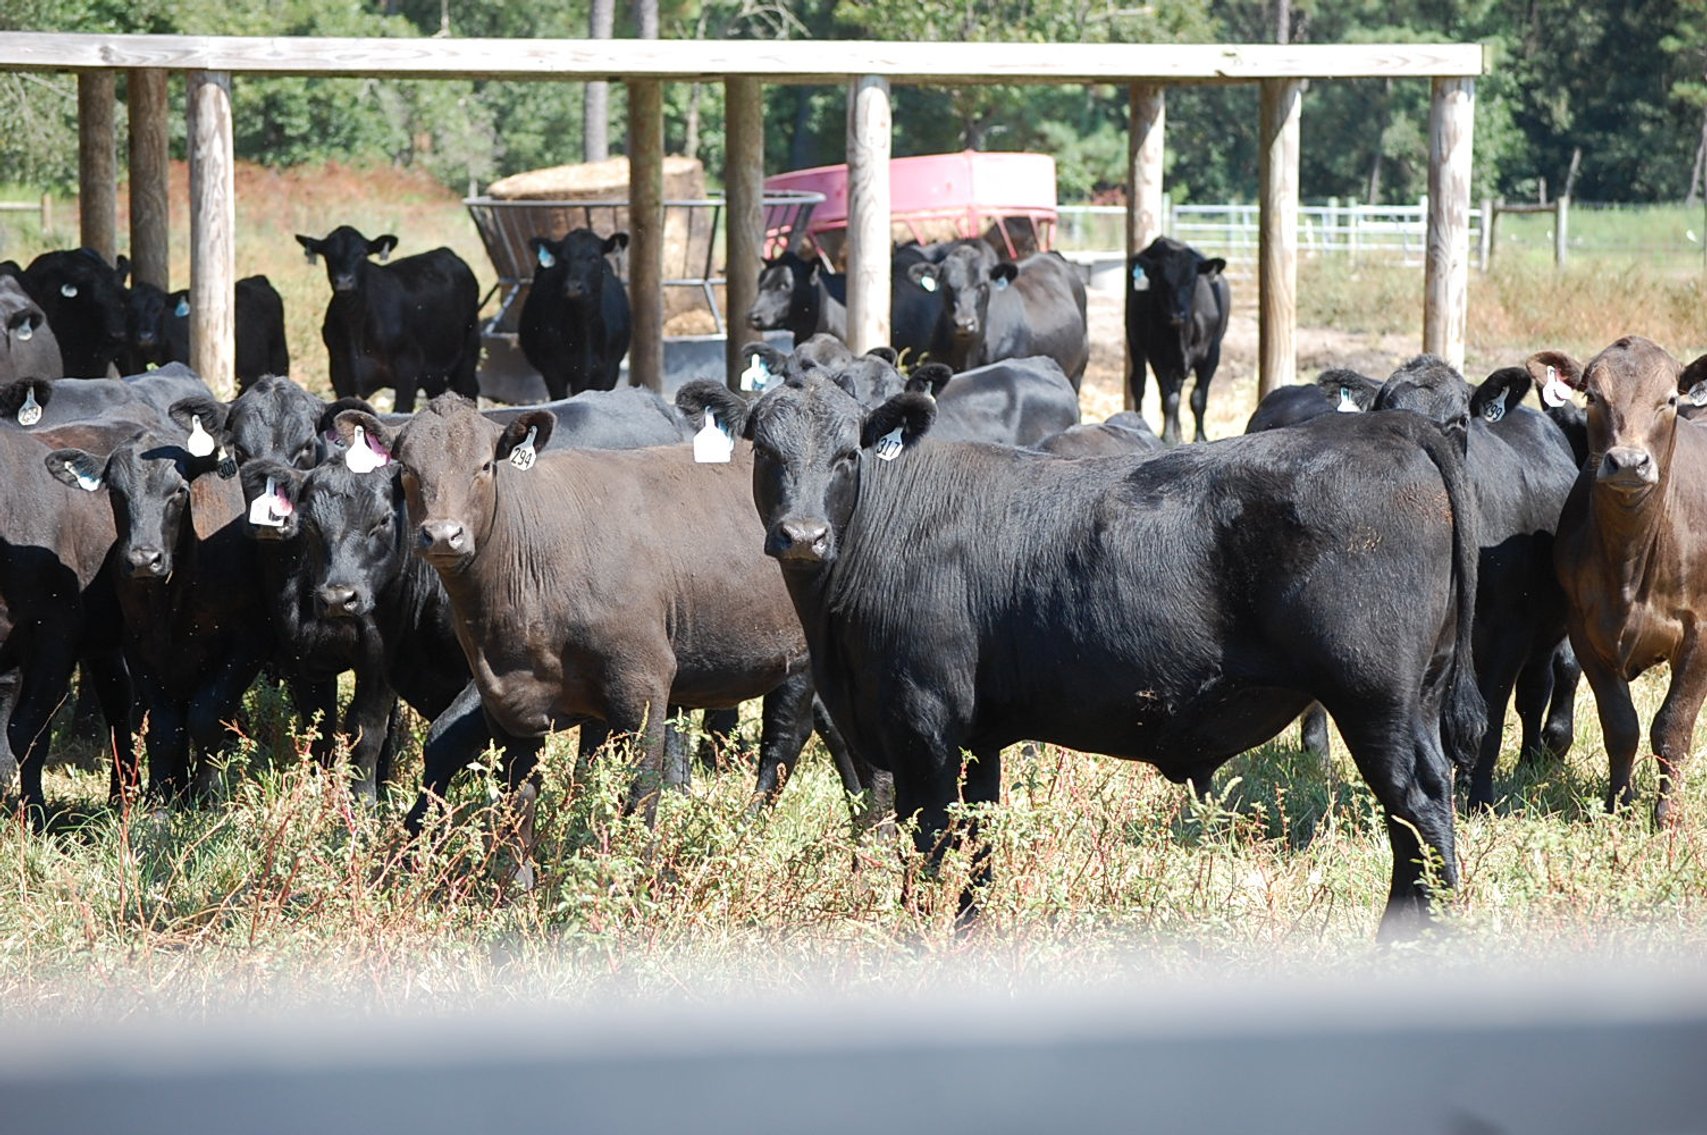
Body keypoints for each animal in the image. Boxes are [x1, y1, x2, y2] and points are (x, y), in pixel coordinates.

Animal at [295, 226, 480, 413]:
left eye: (362, 253)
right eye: (327, 254)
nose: (344, 281)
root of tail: (446, 252)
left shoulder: (408, 369)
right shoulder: (338, 370)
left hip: (469, 351)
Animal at [696, 371, 1483, 936]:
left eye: (847, 455)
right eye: (764, 452)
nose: (802, 536)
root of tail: (1391, 424)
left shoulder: (924, 726)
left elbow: (928, 845)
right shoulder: (979, 736)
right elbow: (980, 845)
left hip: (1372, 697)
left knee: (1416, 805)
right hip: (1416, 694)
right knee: (1421, 808)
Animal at [1127, 236, 1231, 445]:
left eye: (1191, 280)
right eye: (1161, 281)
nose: (1176, 313)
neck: (1182, 334)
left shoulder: (1212, 354)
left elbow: (1198, 398)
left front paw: (1200, 437)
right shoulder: (1157, 356)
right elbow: (1169, 399)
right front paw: (1167, 438)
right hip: (1134, 342)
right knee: (1138, 384)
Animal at [1532, 337, 1707, 825]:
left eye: (1669, 400)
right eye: (1593, 397)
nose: (1628, 462)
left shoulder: (1701, 631)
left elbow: (1673, 726)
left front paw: (1667, 816)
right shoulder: (1585, 630)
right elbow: (1620, 723)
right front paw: (1619, 805)